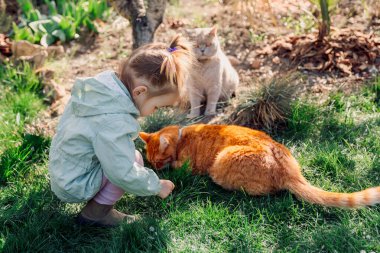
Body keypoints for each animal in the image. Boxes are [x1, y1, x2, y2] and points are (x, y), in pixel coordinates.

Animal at [140, 124, 380, 208]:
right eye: (151, 162)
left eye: (158, 162)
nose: (156, 168)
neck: (182, 137)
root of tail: (290, 172)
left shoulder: (187, 167)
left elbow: (179, 167)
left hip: (221, 163)